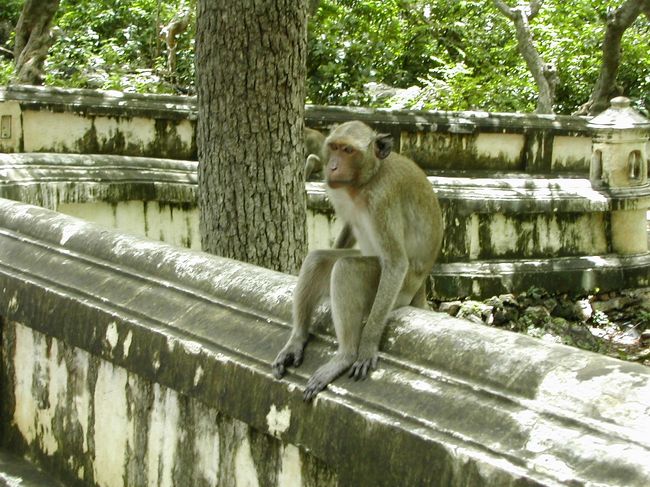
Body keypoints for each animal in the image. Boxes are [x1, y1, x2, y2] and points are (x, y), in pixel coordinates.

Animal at [270, 121, 442, 400]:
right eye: (335, 147)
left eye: (349, 150)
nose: (332, 167)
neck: (365, 182)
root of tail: (421, 287)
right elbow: (349, 228)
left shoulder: (383, 200)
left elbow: (396, 262)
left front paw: (368, 345)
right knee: (319, 259)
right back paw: (297, 340)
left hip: (400, 291)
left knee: (348, 268)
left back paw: (346, 356)